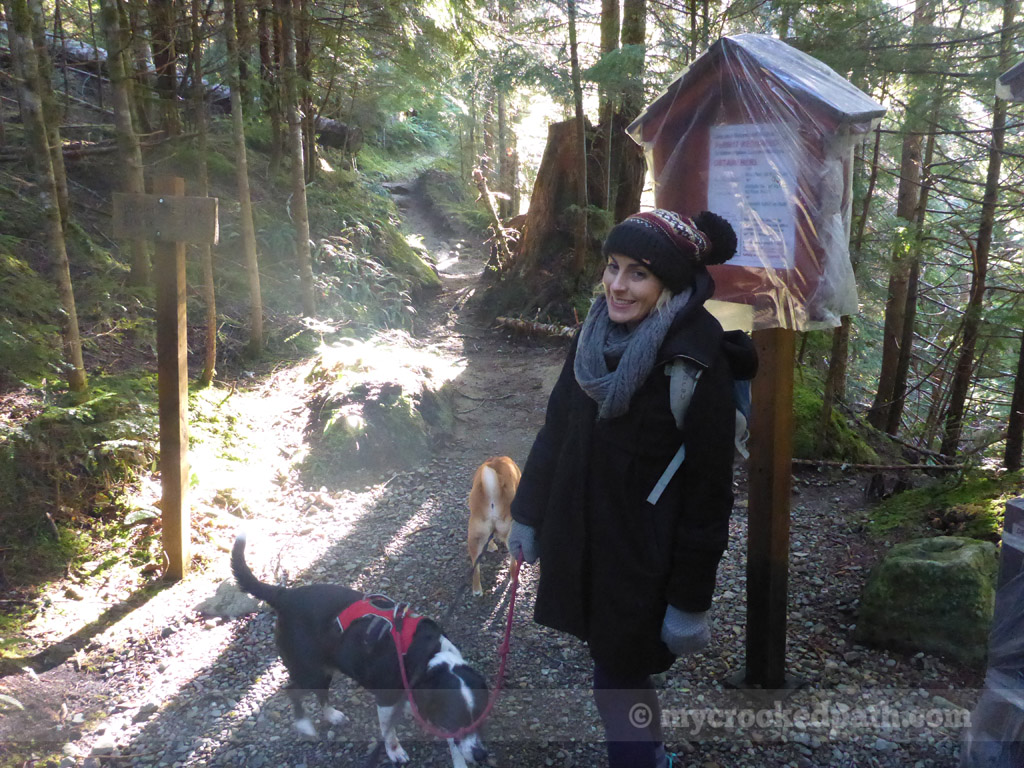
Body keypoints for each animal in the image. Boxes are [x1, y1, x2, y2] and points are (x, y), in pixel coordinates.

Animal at [231, 533, 489, 767]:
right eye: (454, 719)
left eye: (481, 716)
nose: (480, 755)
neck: (428, 658)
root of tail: (284, 594)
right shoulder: (386, 700)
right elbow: (389, 733)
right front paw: (395, 751)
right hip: (308, 669)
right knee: (293, 690)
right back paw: (305, 724)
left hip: (325, 668)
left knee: (320, 694)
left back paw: (332, 716)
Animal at [467, 456, 522, 596]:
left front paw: (491, 546)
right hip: (510, 535)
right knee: (513, 564)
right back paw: (514, 579)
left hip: (474, 538)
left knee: (475, 568)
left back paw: (477, 590)